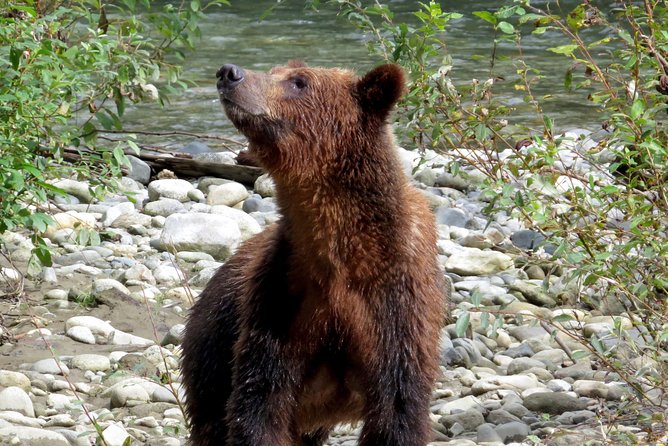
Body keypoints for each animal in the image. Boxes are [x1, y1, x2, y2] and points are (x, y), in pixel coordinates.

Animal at [180, 60, 447, 446]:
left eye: (299, 82)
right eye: (277, 71)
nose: (230, 72)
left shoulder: (396, 304)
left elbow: (397, 410)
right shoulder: (283, 296)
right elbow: (259, 403)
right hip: (211, 349)